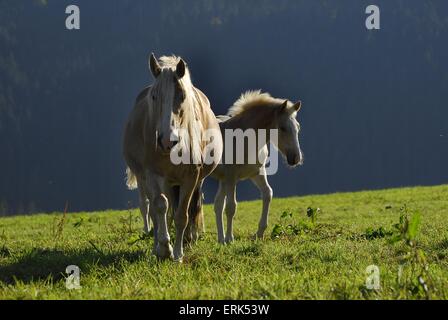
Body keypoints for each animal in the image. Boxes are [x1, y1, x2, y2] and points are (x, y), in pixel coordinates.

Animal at [122, 53, 222, 262]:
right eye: (154, 96)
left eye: (182, 96)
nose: (167, 141)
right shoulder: (152, 175)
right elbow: (160, 207)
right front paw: (163, 248)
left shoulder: (191, 177)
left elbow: (182, 214)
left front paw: (177, 253)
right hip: (157, 180)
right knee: (156, 209)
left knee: (192, 206)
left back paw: (189, 238)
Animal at [209, 91, 300, 244]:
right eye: (282, 128)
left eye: (298, 127)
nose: (295, 158)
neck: (246, 139)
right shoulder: (231, 176)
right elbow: (231, 207)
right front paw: (230, 239)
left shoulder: (257, 173)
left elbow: (267, 193)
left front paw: (259, 233)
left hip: (221, 180)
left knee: (217, 204)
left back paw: (220, 239)